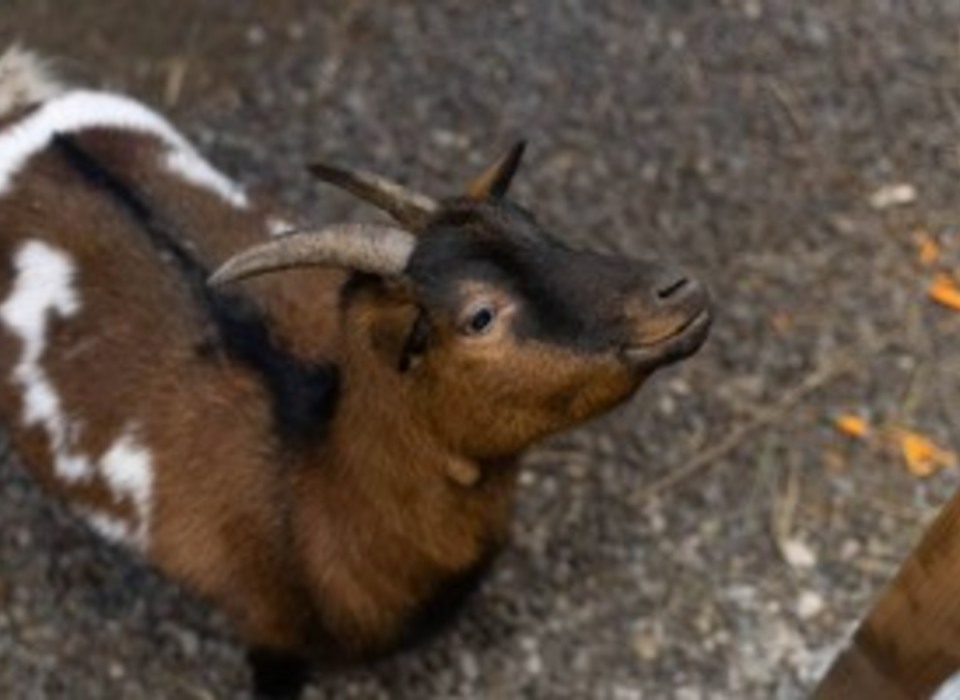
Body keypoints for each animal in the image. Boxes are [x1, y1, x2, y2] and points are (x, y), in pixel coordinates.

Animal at [0, 46, 704, 696]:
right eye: (479, 315)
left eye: (536, 227)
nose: (678, 289)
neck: (308, 495)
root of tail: (24, 119)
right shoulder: (269, 639)